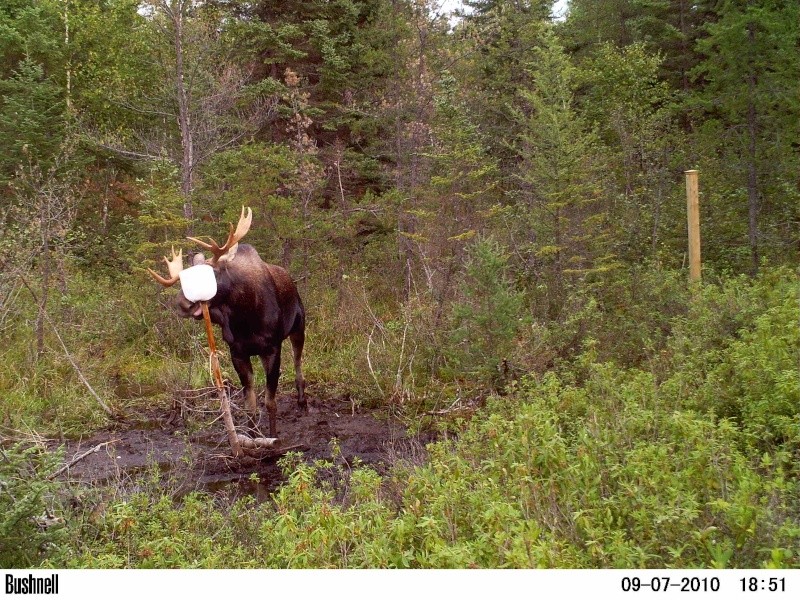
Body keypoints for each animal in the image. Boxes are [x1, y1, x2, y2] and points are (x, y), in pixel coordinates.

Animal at [148, 207, 306, 436]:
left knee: (297, 361)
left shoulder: (273, 348)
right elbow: (250, 404)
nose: (182, 303)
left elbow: (270, 402)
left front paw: (274, 437)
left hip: (298, 328)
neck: (245, 317)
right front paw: (253, 435)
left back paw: (303, 401)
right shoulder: (238, 352)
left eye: (212, 272)